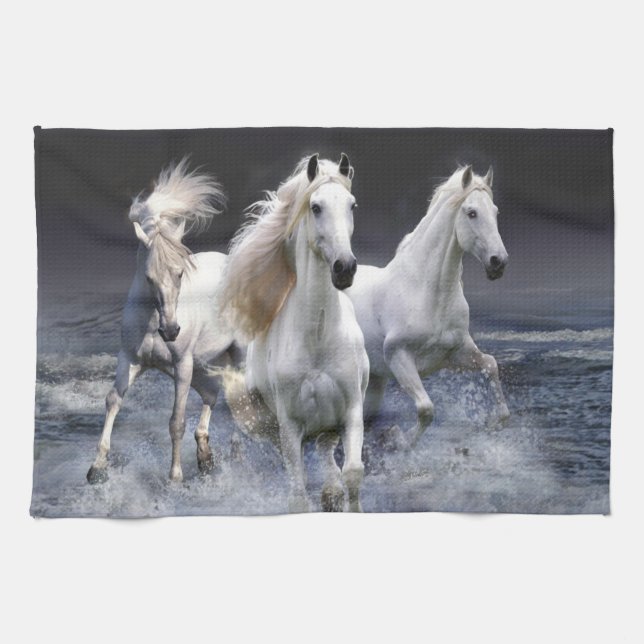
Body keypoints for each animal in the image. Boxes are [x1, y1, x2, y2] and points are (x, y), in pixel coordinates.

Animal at [87, 159, 242, 484]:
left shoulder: (181, 365)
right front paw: (97, 469)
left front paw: (175, 477)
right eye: (149, 277)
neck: (151, 323)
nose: (171, 331)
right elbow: (112, 400)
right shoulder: (131, 359)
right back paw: (205, 456)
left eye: (180, 273)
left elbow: (176, 421)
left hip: (236, 356)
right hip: (203, 365)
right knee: (212, 394)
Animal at [220, 154, 369, 512]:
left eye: (352, 205)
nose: (345, 268)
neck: (318, 337)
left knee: (327, 454)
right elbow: (298, 492)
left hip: (328, 425)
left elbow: (353, 472)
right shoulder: (289, 426)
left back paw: (331, 492)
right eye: (315, 207)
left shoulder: (351, 412)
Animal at [346, 165, 510, 447]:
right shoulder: (398, 356)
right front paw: (397, 439)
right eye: (472, 212)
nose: (498, 262)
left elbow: (490, 365)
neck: (427, 293)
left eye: (495, 211)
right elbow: (426, 409)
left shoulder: (455, 354)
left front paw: (495, 421)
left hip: (373, 382)